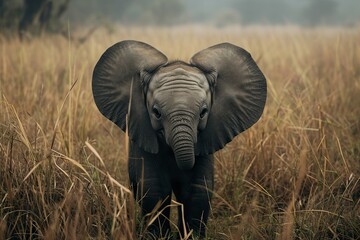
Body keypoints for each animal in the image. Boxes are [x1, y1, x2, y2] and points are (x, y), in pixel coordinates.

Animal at [92, 40, 268, 238]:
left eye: (203, 112)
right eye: (156, 113)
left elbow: (197, 189)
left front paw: (191, 237)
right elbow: (154, 189)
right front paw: (158, 237)